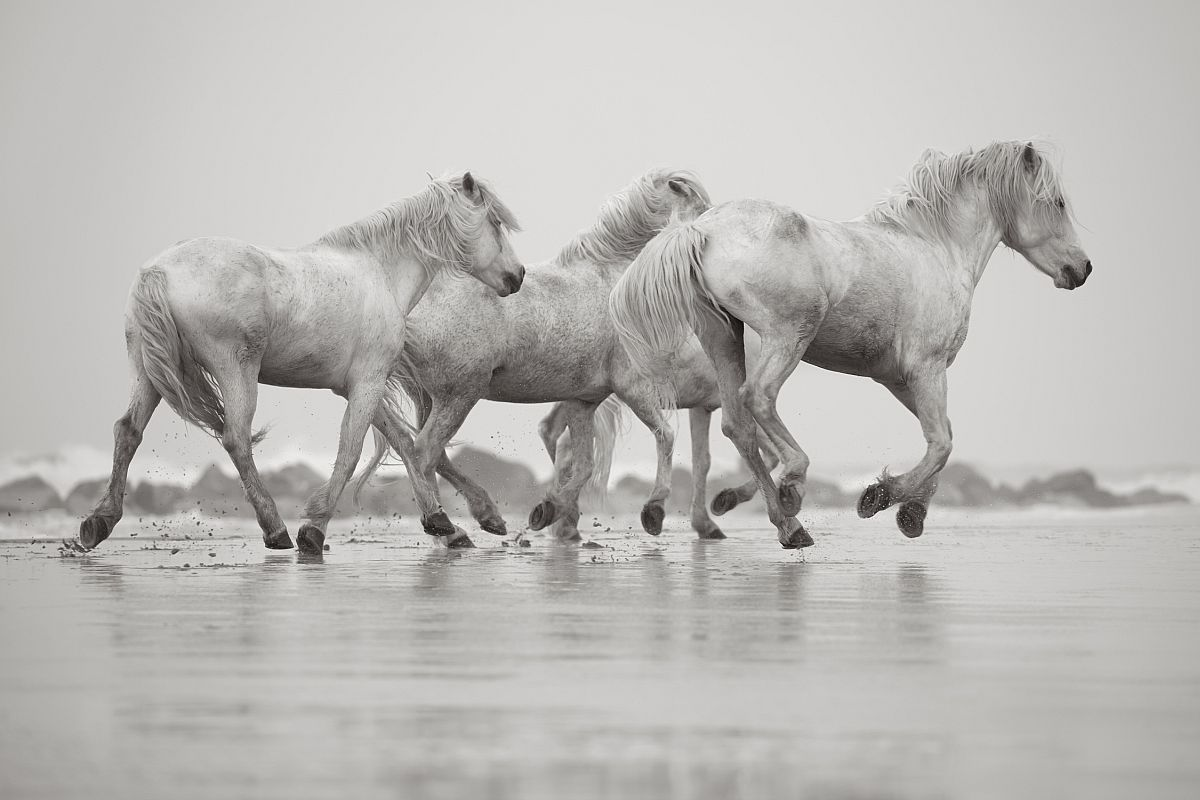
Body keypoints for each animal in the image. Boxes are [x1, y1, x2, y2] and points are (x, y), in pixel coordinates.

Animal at [77, 172, 523, 554]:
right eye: (495, 222)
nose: (517, 276)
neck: (379, 271)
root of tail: (158, 271)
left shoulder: (357, 384)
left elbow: (404, 444)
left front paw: (446, 524)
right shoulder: (368, 381)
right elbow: (352, 450)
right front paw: (314, 528)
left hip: (148, 373)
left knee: (128, 431)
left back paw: (99, 522)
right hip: (235, 369)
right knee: (235, 438)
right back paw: (275, 529)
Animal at [614, 140, 1094, 546]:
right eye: (1057, 202)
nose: (1083, 268)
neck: (936, 250)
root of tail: (703, 229)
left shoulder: (897, 379)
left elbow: (942, 437)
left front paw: (912, 513)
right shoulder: (927, 367)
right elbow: (941, 443)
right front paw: (881, 497)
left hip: (724, 337)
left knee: (738, 424)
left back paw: (789, 527)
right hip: (789, 335)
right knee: (759, 398)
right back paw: (792, 490)